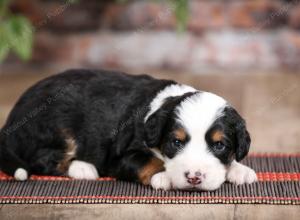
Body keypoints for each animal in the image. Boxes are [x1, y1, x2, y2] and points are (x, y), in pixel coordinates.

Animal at [0, 69, 258, 191]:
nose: (194, 177)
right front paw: (164, 176)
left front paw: (240, 170)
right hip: (55, 127)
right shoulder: (120, 157)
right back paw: (84, 168)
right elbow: (149, 161)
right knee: (42, 159)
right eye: (176, 143)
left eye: (219, 145)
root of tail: (12, 119)